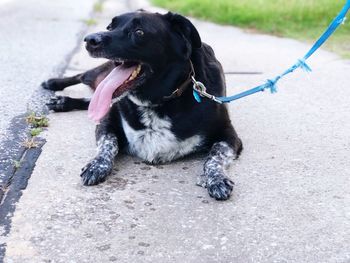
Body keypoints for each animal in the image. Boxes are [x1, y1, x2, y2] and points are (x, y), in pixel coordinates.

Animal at [42, 9, 242, 200]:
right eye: (109, 27)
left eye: (139, 32)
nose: (90, 39)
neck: (157, 102)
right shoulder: (107, 122)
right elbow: (108, 143)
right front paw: (97, 165)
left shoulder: (228, 134)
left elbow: (215, 156)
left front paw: (216, 178)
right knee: (81, 76)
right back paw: (53, 85)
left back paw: (61, 100)